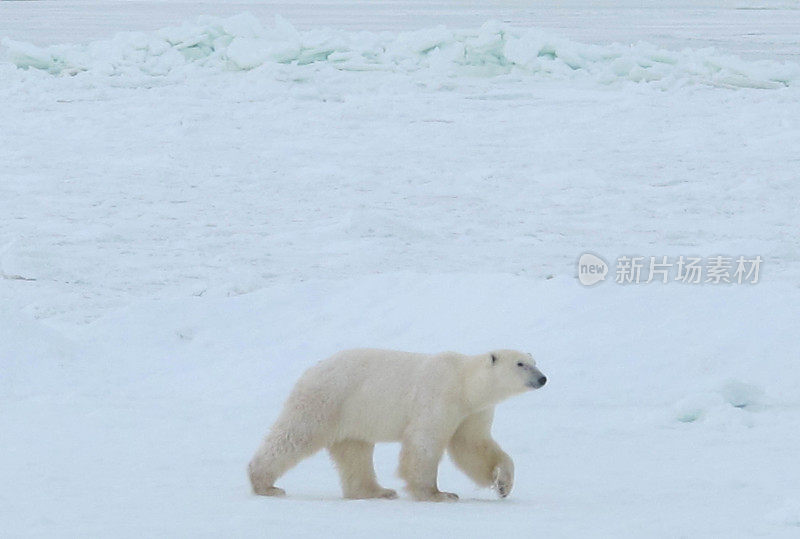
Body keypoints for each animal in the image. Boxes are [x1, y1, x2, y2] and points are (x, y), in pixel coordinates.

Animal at [247, 350, 548, 502]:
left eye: (535, 362)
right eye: (521, 363)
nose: (542, 378)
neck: (464, 382)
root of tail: (311, 369)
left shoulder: (472, 412)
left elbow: (473, 446)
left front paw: (503, 484)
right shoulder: (438, 396)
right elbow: (424, 443)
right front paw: (438, 494)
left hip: (354, 414)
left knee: (355, 452)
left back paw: (377, 491)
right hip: (328, 400)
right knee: (296, 435)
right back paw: (265, 484)